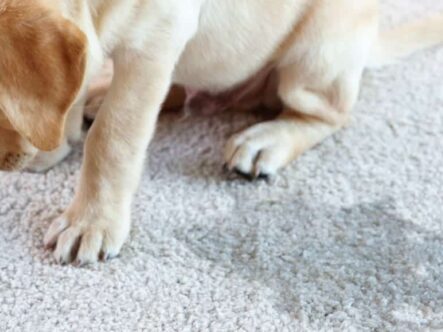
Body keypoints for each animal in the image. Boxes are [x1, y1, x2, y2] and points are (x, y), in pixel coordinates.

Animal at [0, 0, 443, 264]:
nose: (6, 166)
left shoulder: (156, 39)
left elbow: (113, 137)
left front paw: (91, 222)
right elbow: (74, 81)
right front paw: (56, 140)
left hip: (319, 48)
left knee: (329, 114)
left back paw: (266, 140)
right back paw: (99, 96)